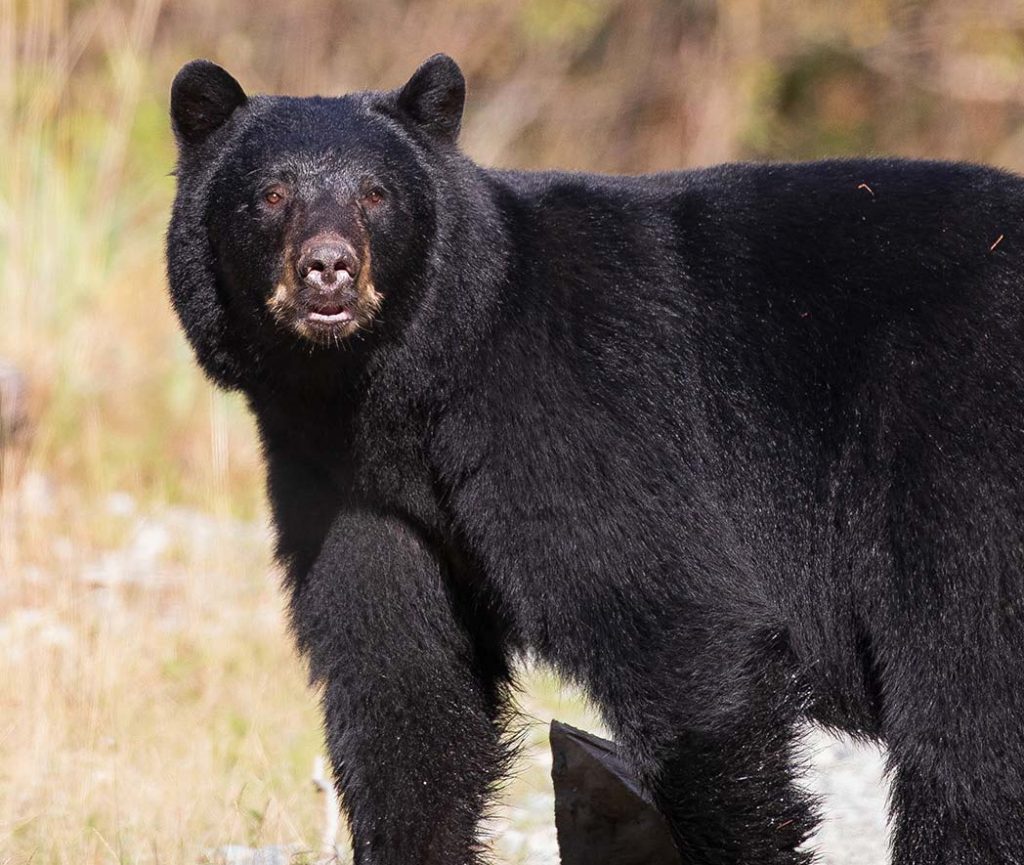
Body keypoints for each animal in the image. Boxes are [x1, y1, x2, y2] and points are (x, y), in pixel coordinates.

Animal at [166, 54, 1024, 865]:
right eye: (271, 195)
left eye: (378, 195)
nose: (329, 267)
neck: (387, 389)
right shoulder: (354, 486)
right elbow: (403, 686)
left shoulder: (577, 412)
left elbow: (681, 631)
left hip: (954, 450)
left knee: (967, 711)